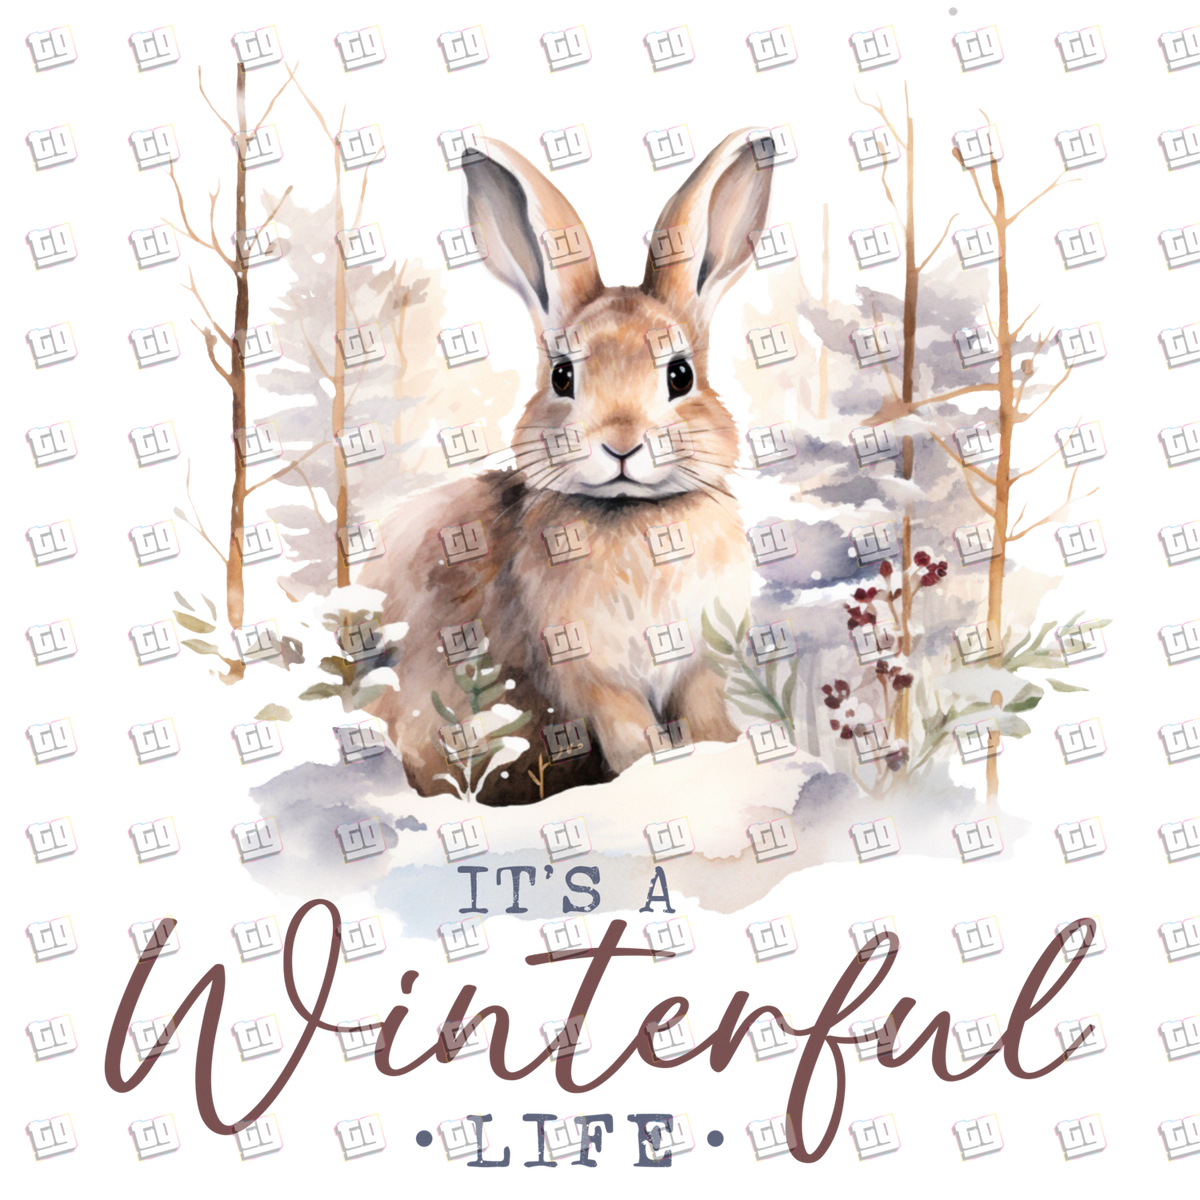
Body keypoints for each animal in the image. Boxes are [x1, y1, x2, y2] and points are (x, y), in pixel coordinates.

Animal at [364, 123, 780, 804]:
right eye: (562, 376)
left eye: (680, 374)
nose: (621, 443)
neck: (636, 517)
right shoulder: (592, 680)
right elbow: (634, 736)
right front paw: (663, 780)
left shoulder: (700, 665)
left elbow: (704, 719)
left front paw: (723, 758)